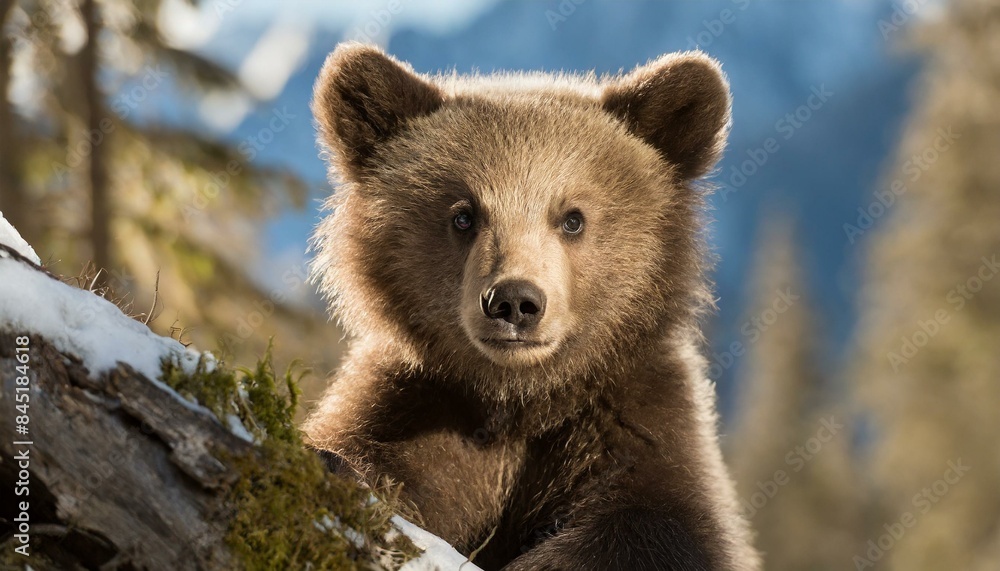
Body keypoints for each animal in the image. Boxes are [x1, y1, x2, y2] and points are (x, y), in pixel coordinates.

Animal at [303, 42, 760, 571]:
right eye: (464, 215)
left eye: (573, 217)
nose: (514, 301)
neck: (519, 402)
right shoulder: (415, 408)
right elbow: (385, 463)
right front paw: (341, 468)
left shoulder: (632, 430)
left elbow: (652, 526)